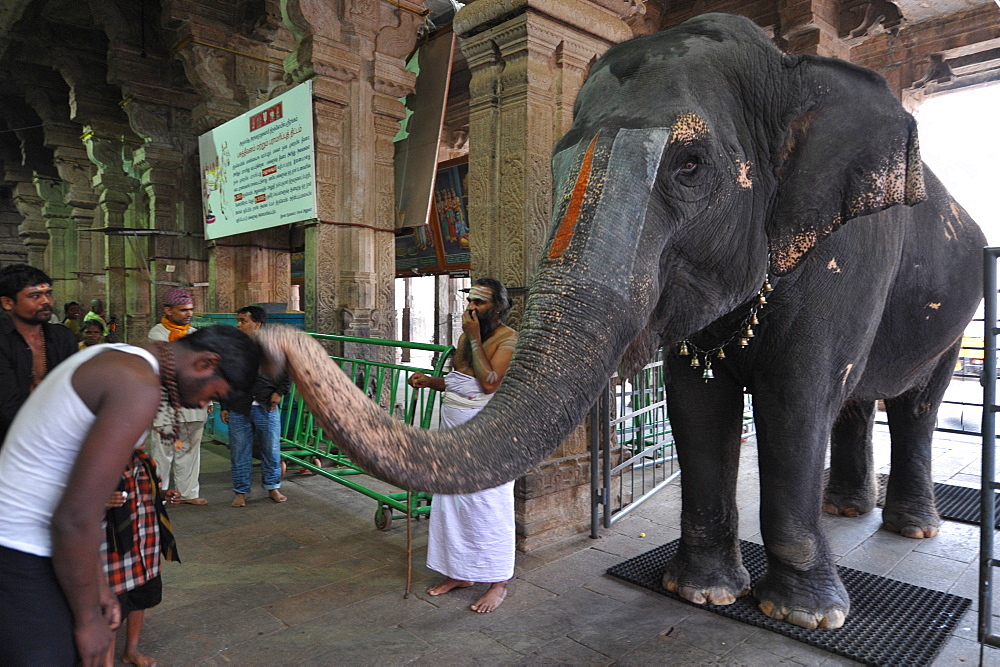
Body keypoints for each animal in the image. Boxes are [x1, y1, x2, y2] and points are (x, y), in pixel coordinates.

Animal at [256, 11, 984, 632]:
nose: (269, 333)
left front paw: (805, 616)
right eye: (555, 164)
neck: (789, 69)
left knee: (916, 402)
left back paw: (911, 528)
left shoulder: (846, 256)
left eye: (689, 165)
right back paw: (848, 509)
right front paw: (700, 593)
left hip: (966, 303)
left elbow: (795, 401)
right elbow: (696, 404)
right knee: (862, 402)